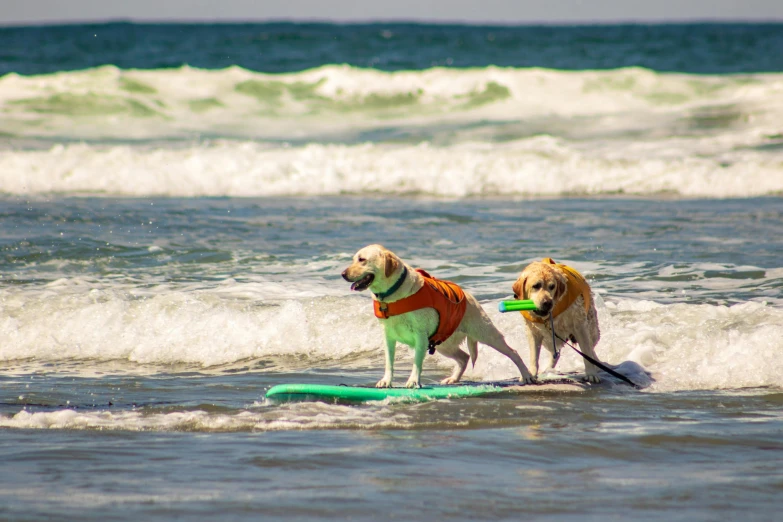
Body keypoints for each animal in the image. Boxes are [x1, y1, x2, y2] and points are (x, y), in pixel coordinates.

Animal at [344, 244, 532, 386]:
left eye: (362, 260)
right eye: (354, 259)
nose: (343, 274)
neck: (393, 295)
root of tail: (469, 296)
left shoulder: (420, 336)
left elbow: (417, 362)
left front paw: (413, 381)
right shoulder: (388, 336)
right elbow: (389, 362)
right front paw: (386, 381)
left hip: (485, 333)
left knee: (513, 352)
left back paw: (527, 375)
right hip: (442, 343)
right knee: (464, 357)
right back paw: (453, 378)